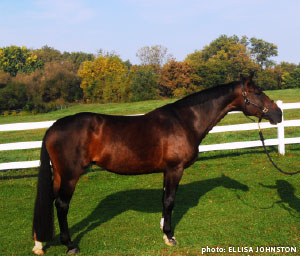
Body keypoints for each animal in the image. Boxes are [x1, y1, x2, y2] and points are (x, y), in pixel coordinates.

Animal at [32, 75, 282, 255]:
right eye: (257, 92)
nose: (278, 114)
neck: (185, 121)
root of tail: (54, 127)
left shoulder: (167, 171)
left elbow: (164, 199)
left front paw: (163, 230)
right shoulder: (175, 169)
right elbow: (170, 201)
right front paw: (170, 237)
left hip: (59, 175)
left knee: (49, 201)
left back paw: (39, 243)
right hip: (70, 175)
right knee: (61, 205)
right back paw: (69, 245)